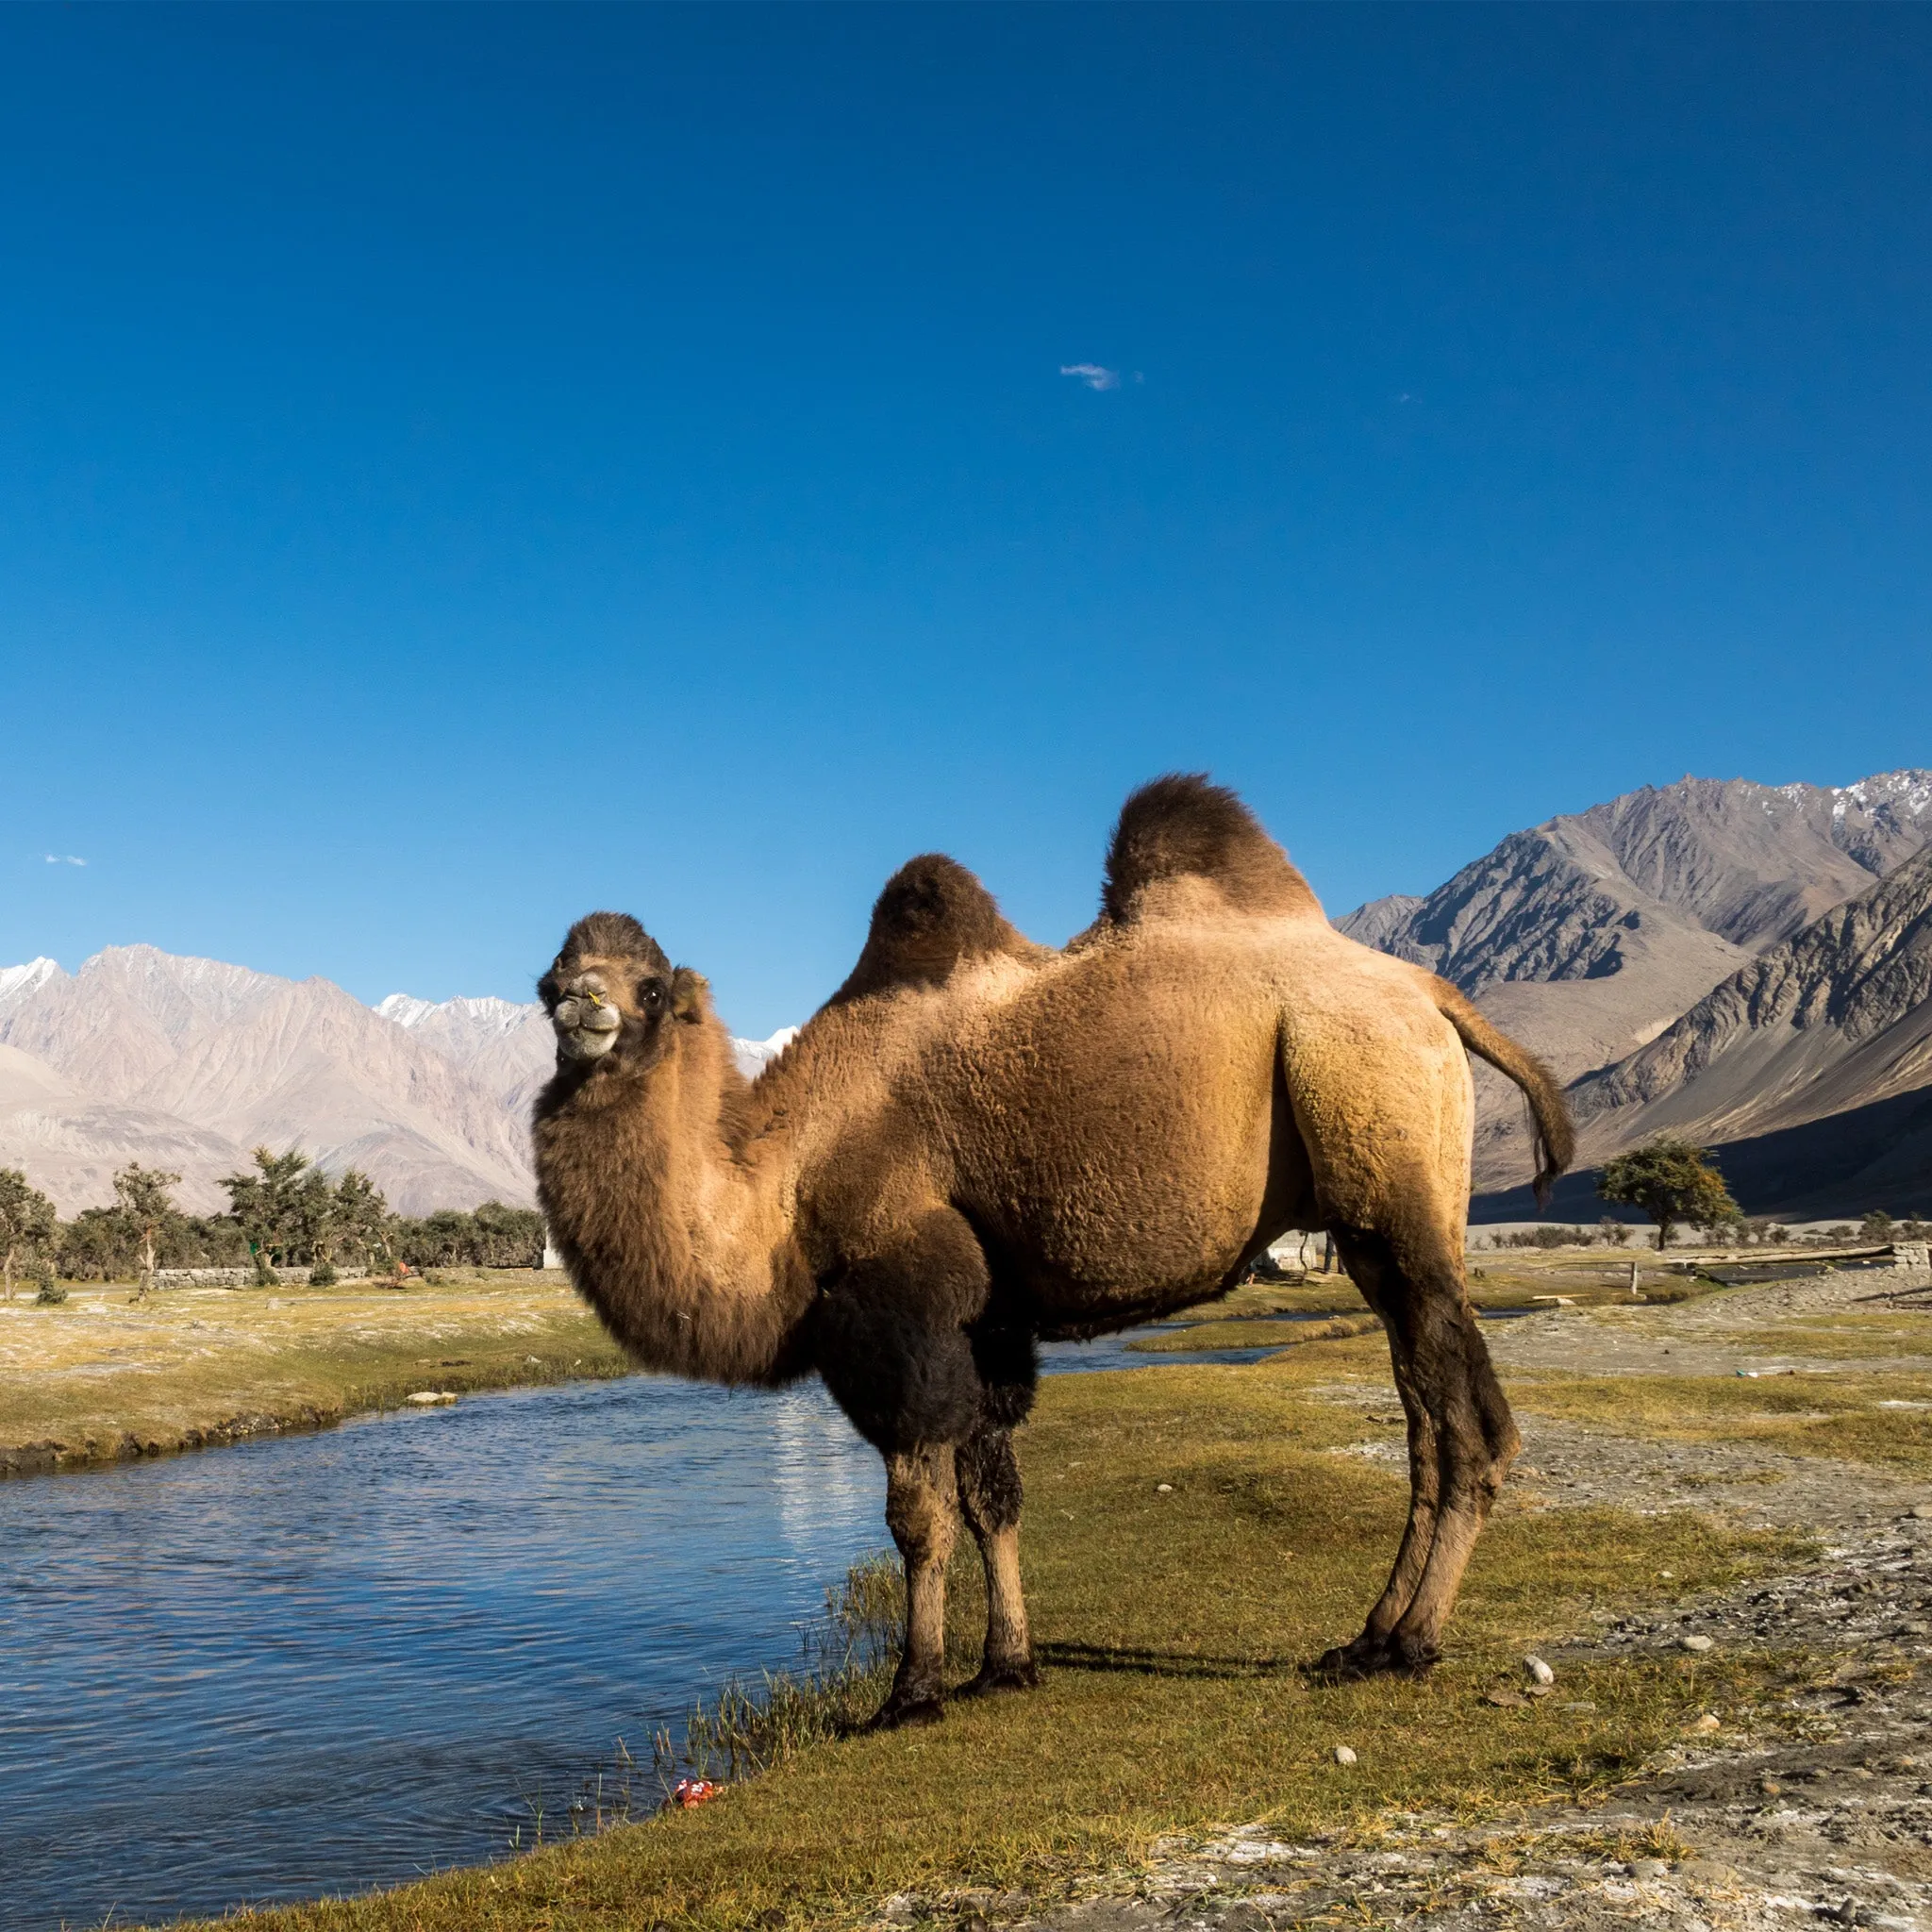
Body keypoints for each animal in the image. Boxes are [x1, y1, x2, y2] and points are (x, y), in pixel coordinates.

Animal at [533, 776, 1568, 1731]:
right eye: (552, 979)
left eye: (649, 989)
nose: (582, 1004)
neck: (784, 1189)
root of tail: (1434, 995)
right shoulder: (986, 1320)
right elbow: (994, 1494)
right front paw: (1004, 1666)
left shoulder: (902, 1305)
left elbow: (917, 1517)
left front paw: (909, 1691)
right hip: (1376, 1198)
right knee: (1422, 1412)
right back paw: (1367, 1637)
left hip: (1372, 1118)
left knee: (1467, 1420)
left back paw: (1410, 1643)